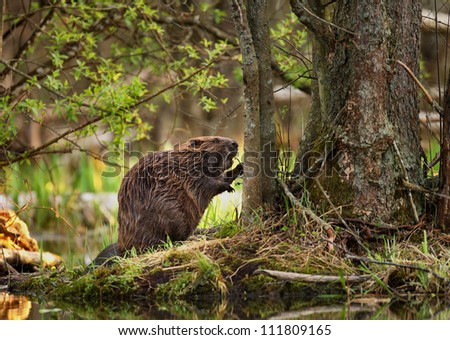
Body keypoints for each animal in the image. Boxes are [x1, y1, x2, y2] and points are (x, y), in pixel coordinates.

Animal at [89, 137, 241, 266]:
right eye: (215, 140)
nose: (235, 143)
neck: (186, 159)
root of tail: (121, 248)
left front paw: (240, 167)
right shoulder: (189, 174)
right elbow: (208, 185)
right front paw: (229, 184)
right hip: (170, 215)